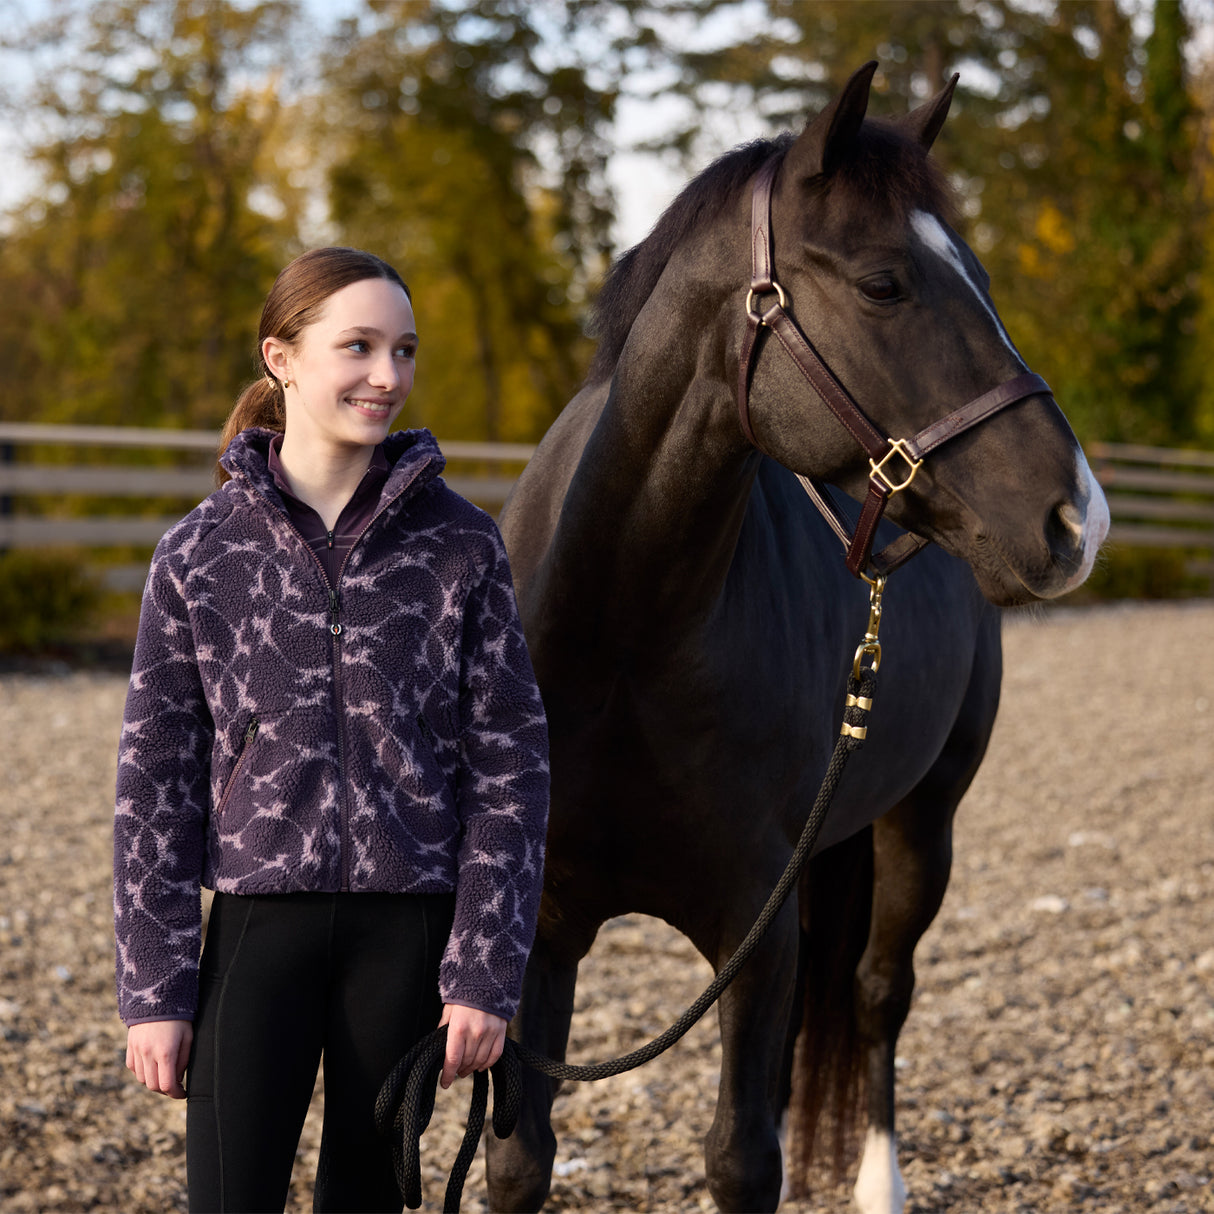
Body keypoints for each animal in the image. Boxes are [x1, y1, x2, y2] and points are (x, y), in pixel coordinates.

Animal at [487, 62, 1109, 1213]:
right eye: (882, 285)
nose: (1077, 519)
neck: (619, 647)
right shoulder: (542, 926)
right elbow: (518, 1158)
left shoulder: (755, 930)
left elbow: (742, 1158)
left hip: (922, 823)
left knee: (874, 993)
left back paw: (878, 1182)